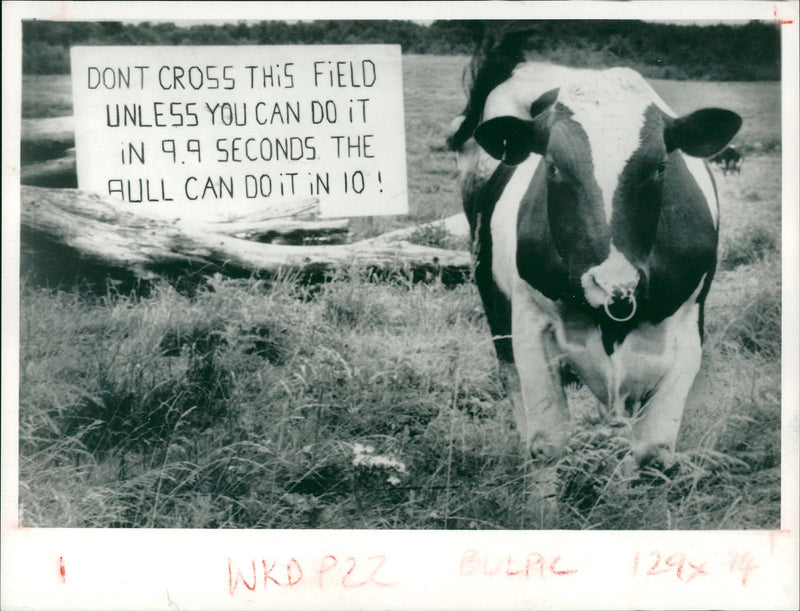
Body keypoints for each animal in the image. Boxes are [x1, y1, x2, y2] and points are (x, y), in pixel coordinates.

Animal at [446, 44, 740, 474]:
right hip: (490, 293)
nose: (611, 282)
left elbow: (652, 452)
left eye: (660, 166)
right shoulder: (530, 324)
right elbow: (547, 444)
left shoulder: (688, 330)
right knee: (510, 378)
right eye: (552, 166)